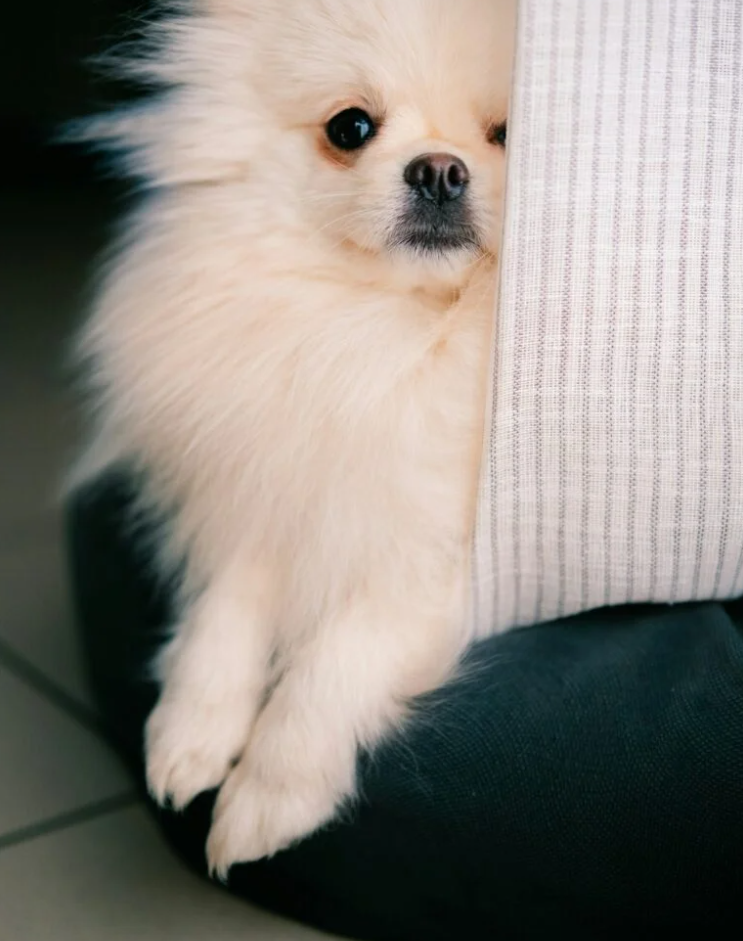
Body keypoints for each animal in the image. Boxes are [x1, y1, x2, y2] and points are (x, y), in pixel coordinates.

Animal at [73, 0, 515, 877]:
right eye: (350, 128)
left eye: (509, 134)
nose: (439, 169)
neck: (388, 336)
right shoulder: (275, 477)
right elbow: (227, 603)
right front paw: (190, 726)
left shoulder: (442, 567)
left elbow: (333, 659)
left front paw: (268, 795)